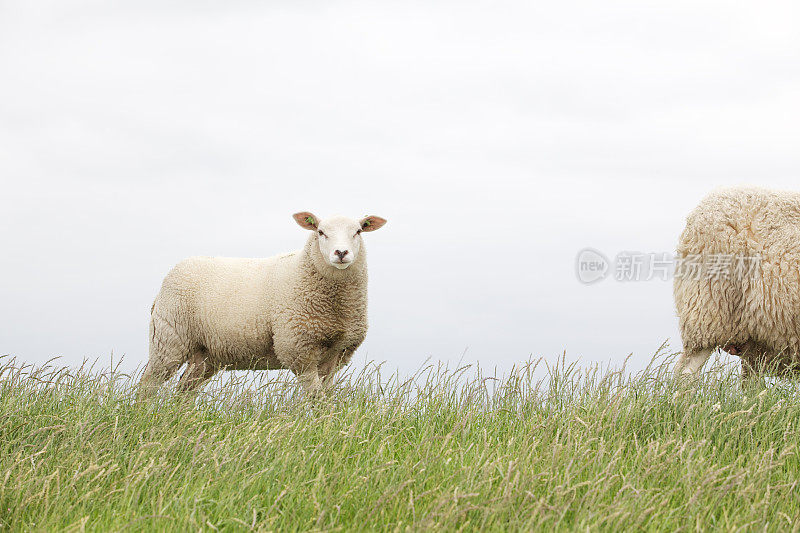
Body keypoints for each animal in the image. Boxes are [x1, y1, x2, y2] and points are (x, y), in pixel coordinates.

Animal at [139, 211, 390, 394]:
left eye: (358, 231)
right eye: (320, 232)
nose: (341, 252)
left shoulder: (338, 352)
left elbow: (325, 396)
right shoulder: (298, 348)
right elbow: (315, 396)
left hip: (206, 354)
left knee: (184, 389)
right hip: (169, 338)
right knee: (149, 383)